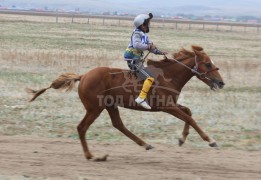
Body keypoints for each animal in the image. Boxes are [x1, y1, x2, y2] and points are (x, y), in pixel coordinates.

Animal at [27, 45, 224, 161]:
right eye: (207, 64)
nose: (221, 82)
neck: (168, 76)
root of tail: (83, 76)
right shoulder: (166, 106)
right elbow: (190, 118)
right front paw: (211, 140)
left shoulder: (172, 105)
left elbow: (189, 112)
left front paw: (182, 139)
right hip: (95, 108)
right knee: (82, 127)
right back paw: (91, 155)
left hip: (110, 106)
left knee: (118, 125)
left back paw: (145, 144)